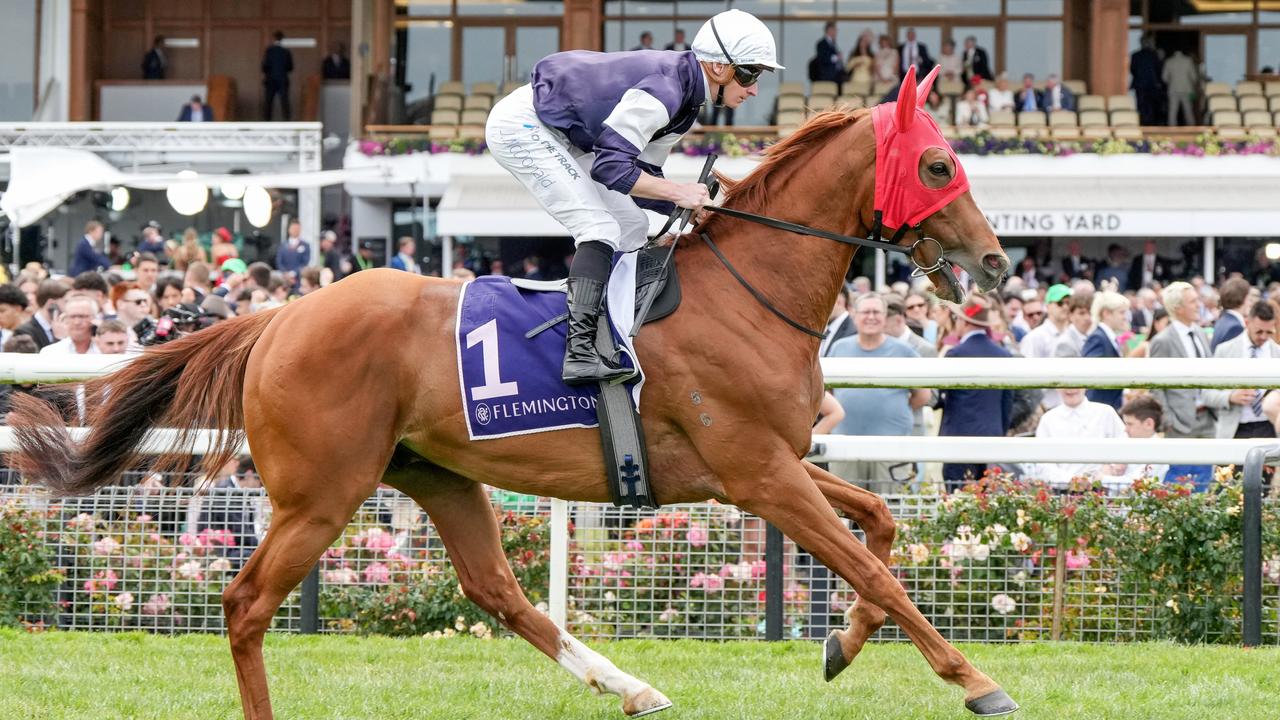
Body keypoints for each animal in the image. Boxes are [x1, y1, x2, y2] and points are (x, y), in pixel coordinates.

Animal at [5, 98, 1013, 712]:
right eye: (935, 165)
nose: (998, 261)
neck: (747, 292)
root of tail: (280, 315)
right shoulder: (758, 473)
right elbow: (876, 565)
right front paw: (973, 679)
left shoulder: (766, 468)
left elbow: (880, 521)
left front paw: (843, 642)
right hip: (320, 494)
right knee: (246, 604)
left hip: (439, 475)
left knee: (497, 590)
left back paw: (632, 687)